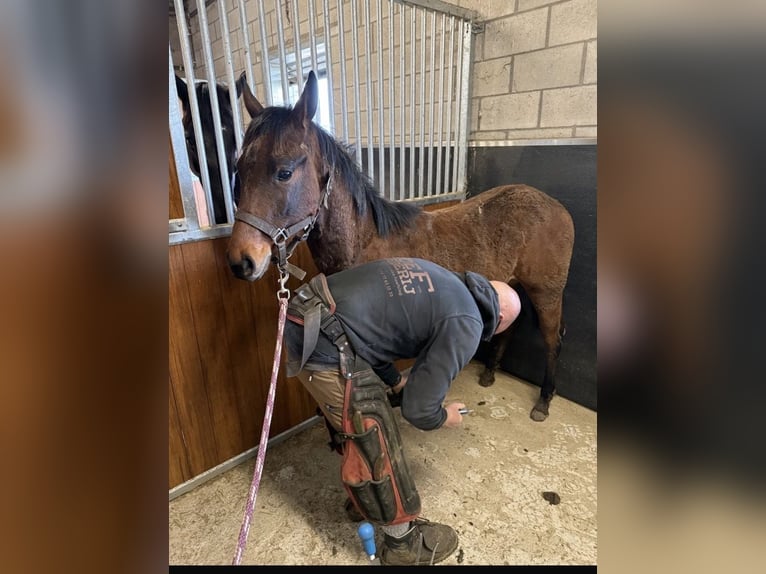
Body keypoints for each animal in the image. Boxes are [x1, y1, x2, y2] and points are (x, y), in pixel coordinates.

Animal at [226, 71, 574, 422]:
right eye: (238, 172)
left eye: (284, 172)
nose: (242, 261)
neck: (366, 241)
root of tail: (555, 206)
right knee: (509, 328)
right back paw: (489, 373)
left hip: (547, 293)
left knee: (552, 341)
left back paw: (543, 401)